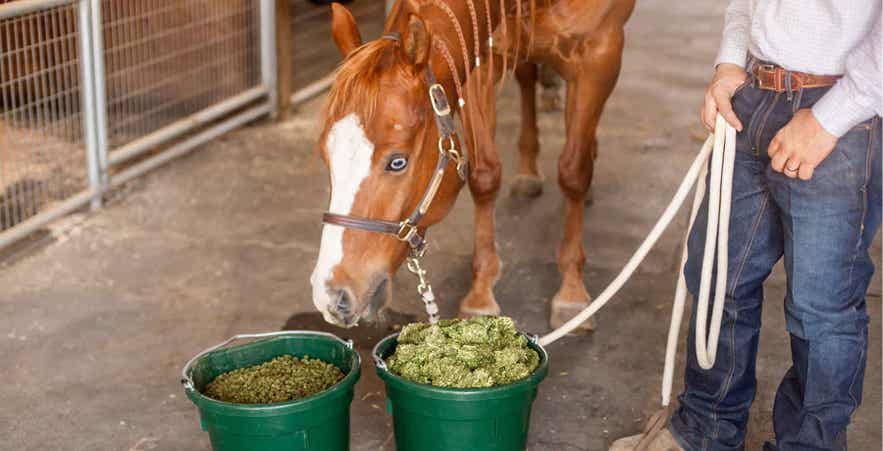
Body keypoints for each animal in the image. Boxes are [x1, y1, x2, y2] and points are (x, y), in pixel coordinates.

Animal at [310, 0, 635, 330]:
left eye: (398, 161)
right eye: (325, 153)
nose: (332, 296)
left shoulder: (600, 55)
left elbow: (573, 173)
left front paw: (572, 292)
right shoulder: (480, 63)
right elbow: (485, 175)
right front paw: (481, 293)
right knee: (526, 76)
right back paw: (528, 171)